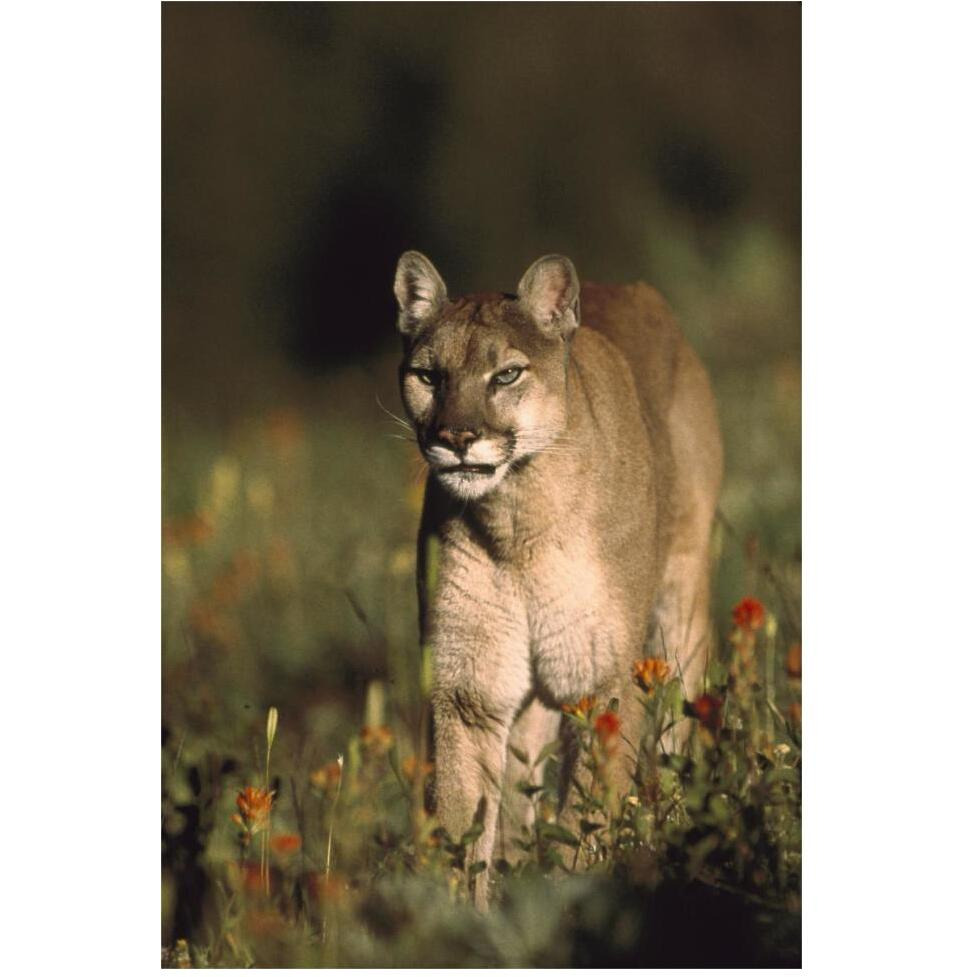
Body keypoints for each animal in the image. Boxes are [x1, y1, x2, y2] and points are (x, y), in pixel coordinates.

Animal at [392, 252, 720, 908]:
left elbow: (584, 816)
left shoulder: (602, 678)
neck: (517, 523)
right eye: (429, 376)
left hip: (681, 610)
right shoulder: (467, 690)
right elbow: (463, 820)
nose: (456, 439)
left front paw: (573, 895)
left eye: (507, 375)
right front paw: (461, 917)